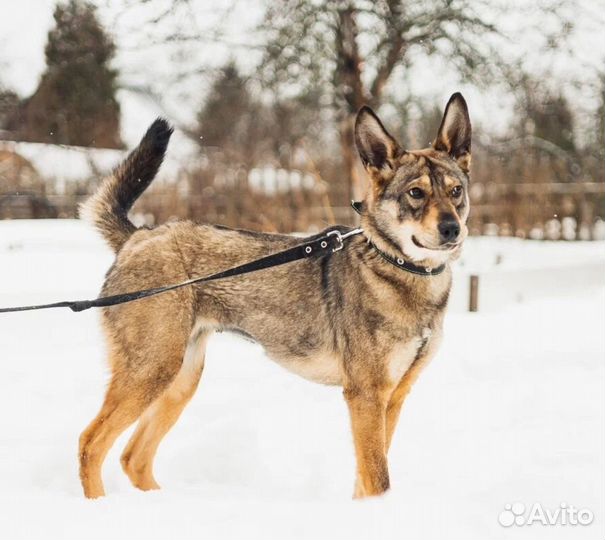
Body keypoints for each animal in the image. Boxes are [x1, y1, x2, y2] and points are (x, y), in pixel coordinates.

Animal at [78, 92, 470, 498]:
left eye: (456, 191)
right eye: (416, 193)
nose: (452, 229)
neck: (399, 268)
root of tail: (139, 236)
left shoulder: (393, 397)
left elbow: (366, 478)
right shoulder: (366, 395)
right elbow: (378, 479)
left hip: (180, 380)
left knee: (133, 457)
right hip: (151, 371)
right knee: (91, 444)